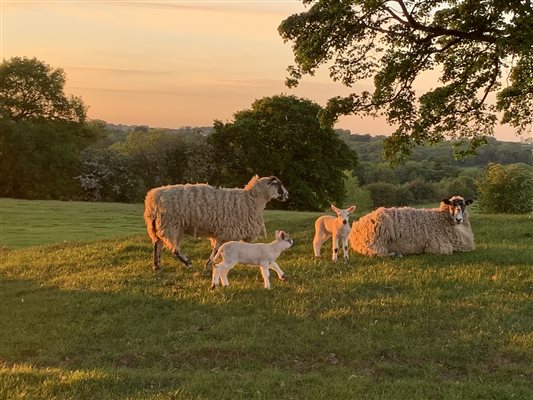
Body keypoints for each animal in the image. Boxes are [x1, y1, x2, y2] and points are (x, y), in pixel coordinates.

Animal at [143, 176, 288, 272]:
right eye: (278, 184)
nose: (287, 195)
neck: (251, 201)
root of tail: (152, 198)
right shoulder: (227, 232)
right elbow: (217, 250)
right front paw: (208, 265)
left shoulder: (224, 233)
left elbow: (218, 249)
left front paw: (209, 265)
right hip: (170, 223)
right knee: (172, 246)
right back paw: (187, 262)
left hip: (163, 225)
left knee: (158, 244)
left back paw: (157, 266)